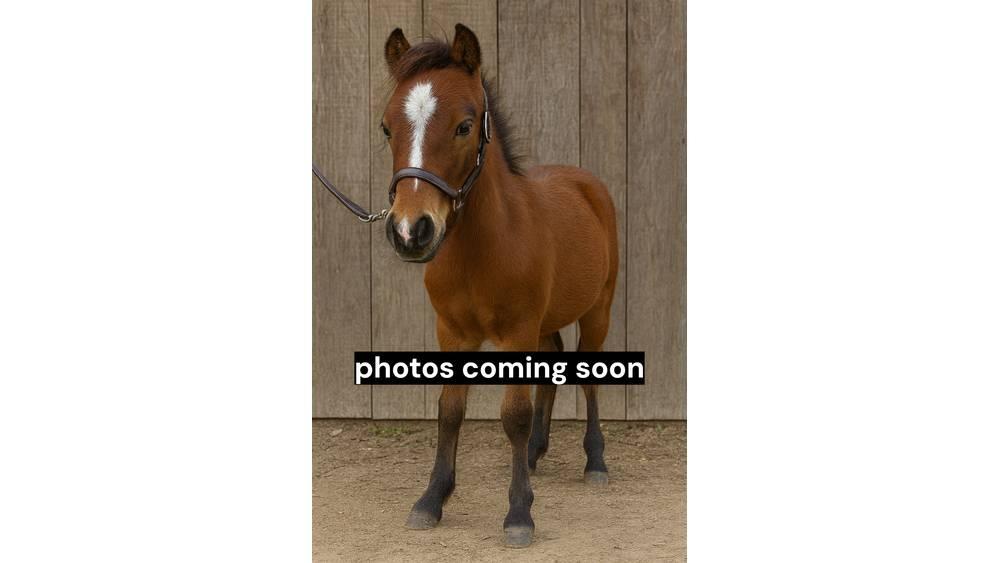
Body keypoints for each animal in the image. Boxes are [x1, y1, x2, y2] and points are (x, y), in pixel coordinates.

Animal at [379, 23, 618, 548]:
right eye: (386, 127)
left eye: (465, 125)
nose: (410, 231)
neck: (481, 249)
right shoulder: (452, 333)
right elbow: (450, 409)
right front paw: (431, 500)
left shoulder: (516, 332)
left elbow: (513, 414)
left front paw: (519, 513)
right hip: (546, 322)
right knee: (552, 364)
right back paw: (534, 453)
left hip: (597, 311)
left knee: (588, 374)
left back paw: (595, 461)